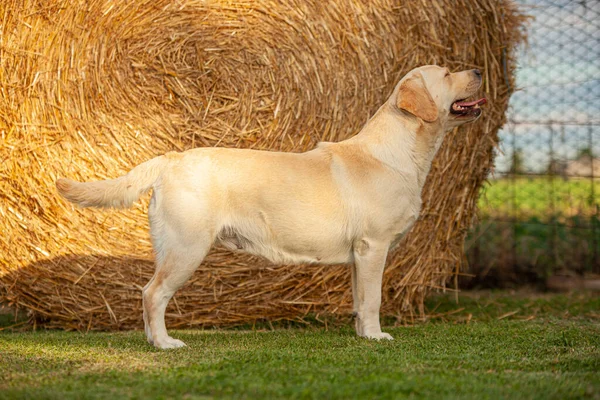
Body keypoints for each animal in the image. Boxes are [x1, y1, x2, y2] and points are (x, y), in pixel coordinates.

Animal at [56, 65, 488, 346]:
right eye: (446, 74)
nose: (480, 69)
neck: (399, 151)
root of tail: (170, 158)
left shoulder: (358, 255)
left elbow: (359, 300)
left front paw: (362, 336)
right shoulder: (373, 246)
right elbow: (374, 300)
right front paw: (377, 337)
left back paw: (152, 341)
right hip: (186, 246)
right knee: (152, 293)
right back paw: (165, 344)